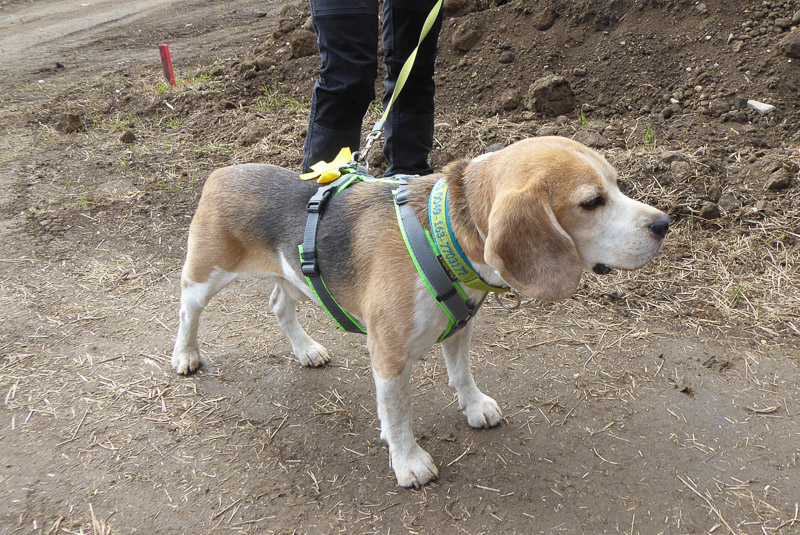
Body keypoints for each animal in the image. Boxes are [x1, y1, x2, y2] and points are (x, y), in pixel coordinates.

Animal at [173, 137, 668, 490]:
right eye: (591, 202)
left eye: (618, 184)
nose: (664, 223)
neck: (441, 232)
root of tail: (221, 172)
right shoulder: (388, 355)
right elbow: (398, 414)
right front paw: (408, 462)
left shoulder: (460, 327)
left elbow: (462, 374)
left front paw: (474, 406)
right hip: (204, 276)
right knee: (187, 311)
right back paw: (185, 356)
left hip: (292, 274)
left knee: (279, 306)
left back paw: (307, 350)